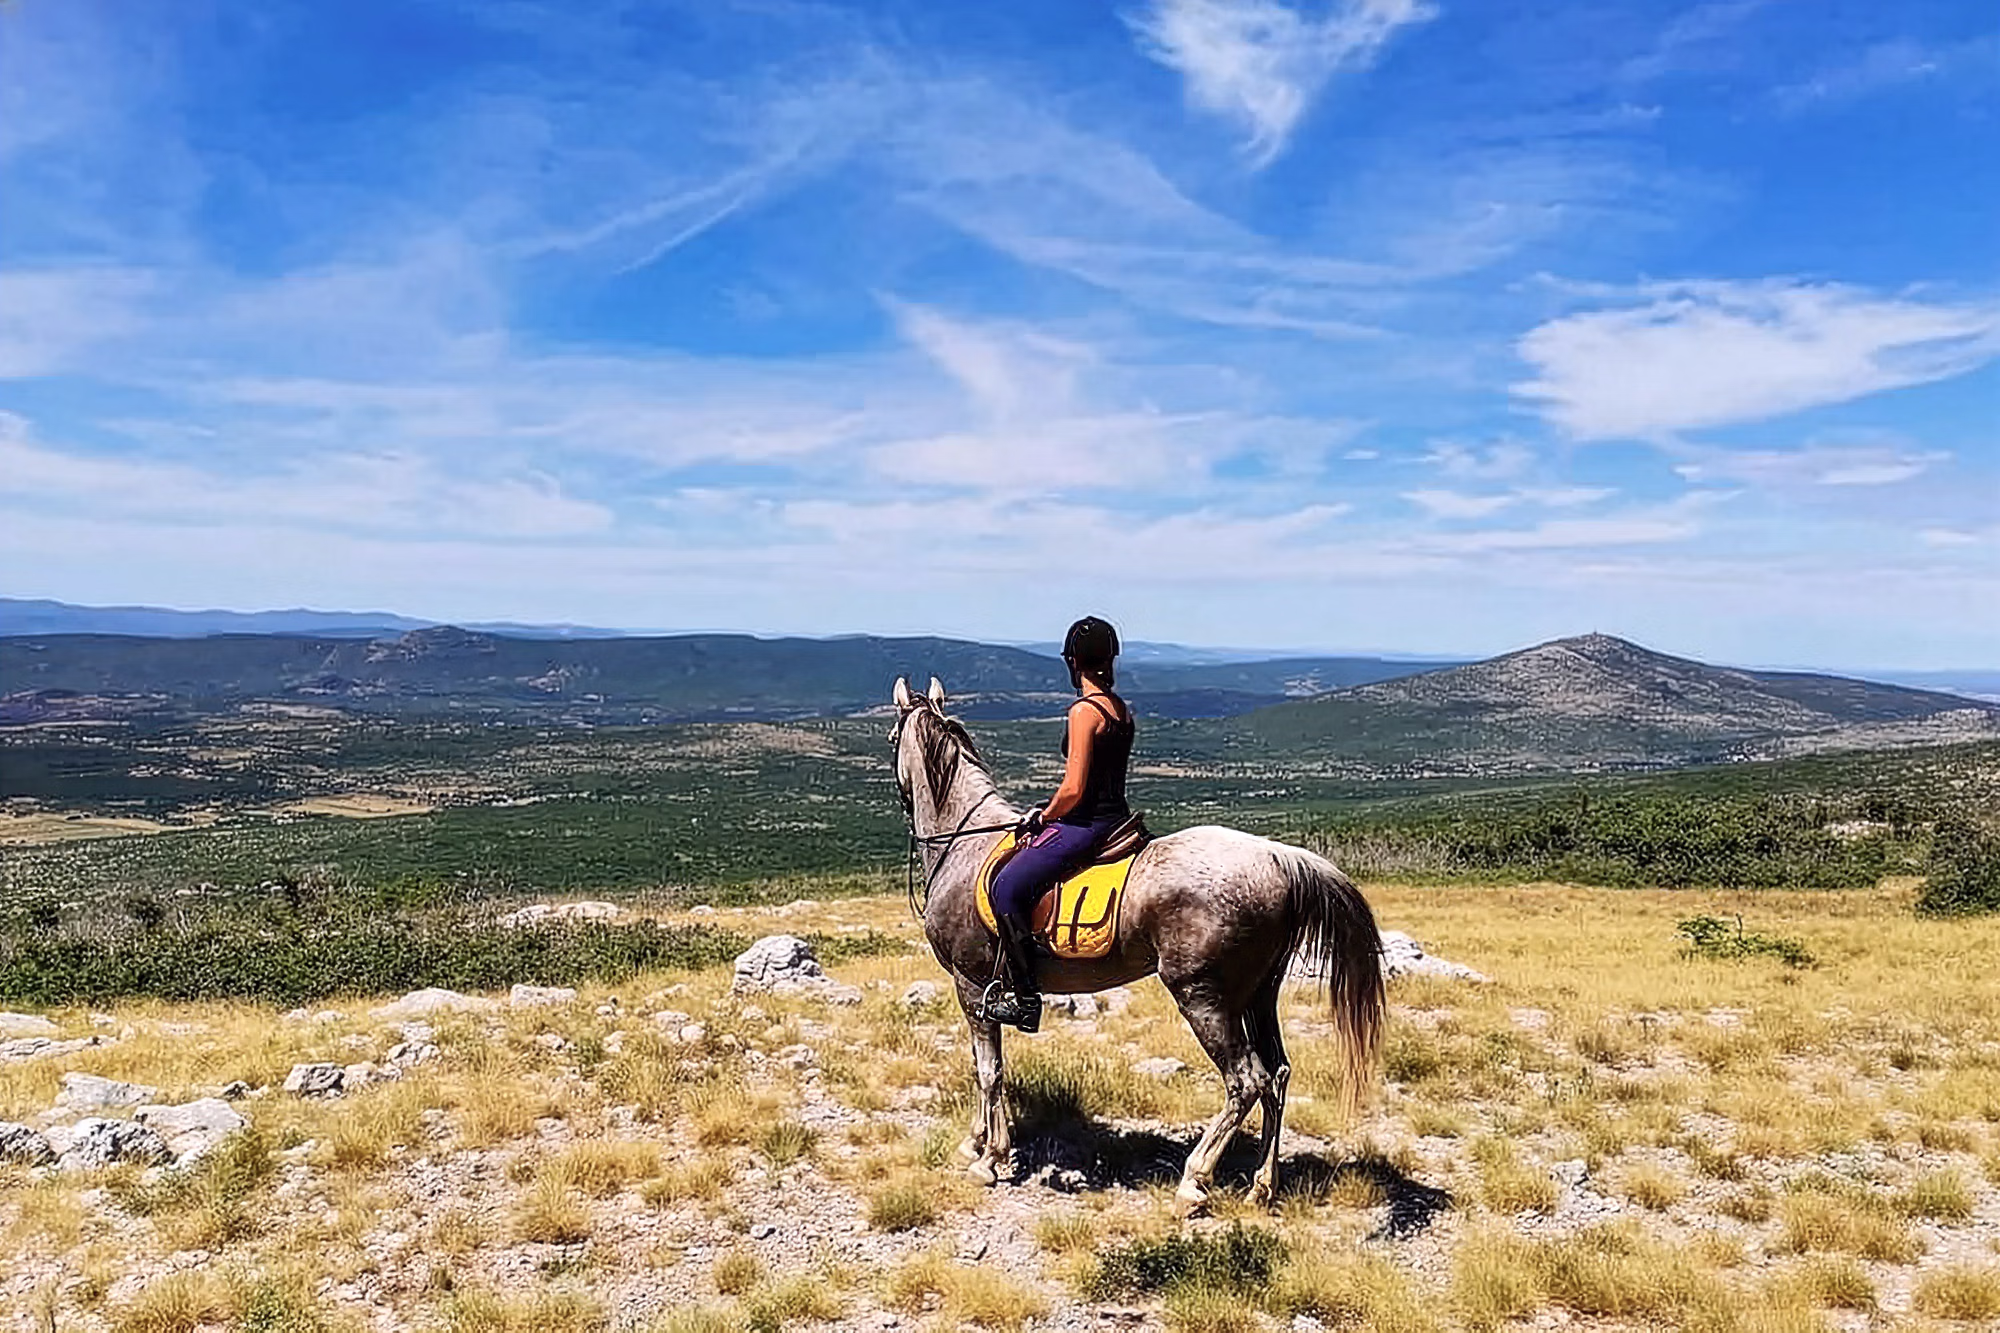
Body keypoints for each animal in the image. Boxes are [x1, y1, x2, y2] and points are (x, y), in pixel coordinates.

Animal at [890, 676, 1385, 1211]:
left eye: (892, 736)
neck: (963, 842)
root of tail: (1279, 859)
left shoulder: (971, 983)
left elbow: (989, 1070)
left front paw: (990, 1158)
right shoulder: (980, 991)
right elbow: (984, 1064)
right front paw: (977, 1142)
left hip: (1203, 998)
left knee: (1245, 1081)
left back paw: (1195, 1180)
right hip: (1257, 995)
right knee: (1276, 1075)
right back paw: (1262, 1185)